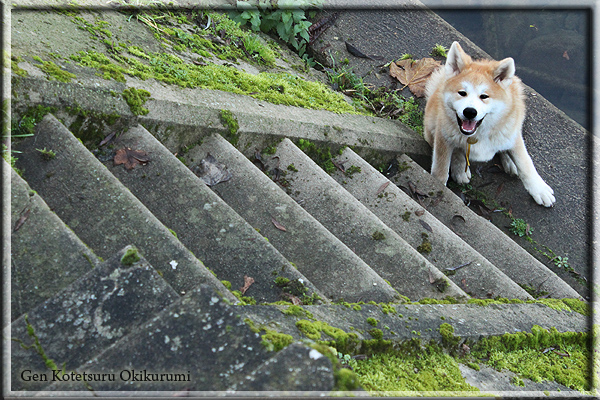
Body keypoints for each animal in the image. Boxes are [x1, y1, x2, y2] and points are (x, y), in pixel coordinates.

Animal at [424, 41, 556, 208]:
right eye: (462, 93)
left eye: (484, 96)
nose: (470, 112)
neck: (477, 135)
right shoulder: (443, 138)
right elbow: (441, 169)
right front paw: (438, 184)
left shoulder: (512, 136)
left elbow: (525, 164)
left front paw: (539, 189)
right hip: (430, 127)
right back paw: (460, 168)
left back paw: (509, 162)